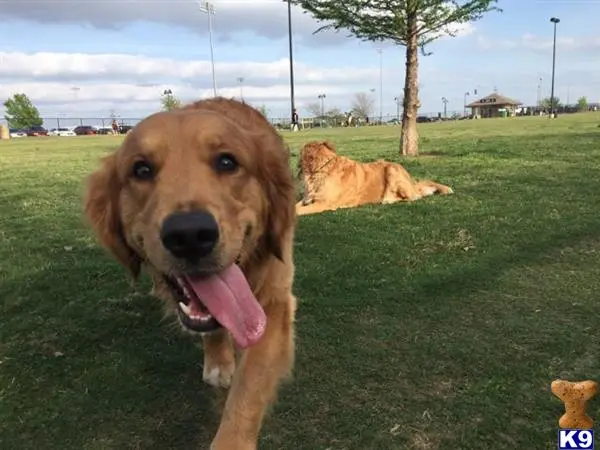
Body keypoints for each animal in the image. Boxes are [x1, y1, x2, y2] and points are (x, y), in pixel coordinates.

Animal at [83, 98, 298, 450]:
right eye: (141, 169)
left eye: (227, 162)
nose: (190, 235)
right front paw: (218, 360)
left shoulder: (275, 303)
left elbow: (247, 393)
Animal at [296, 142, 454, 217]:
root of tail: (411, 180)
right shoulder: (306, 199)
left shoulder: (323, 204)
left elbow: (296, 211)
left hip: (391, 169)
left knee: (413, 197)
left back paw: (387, 199)